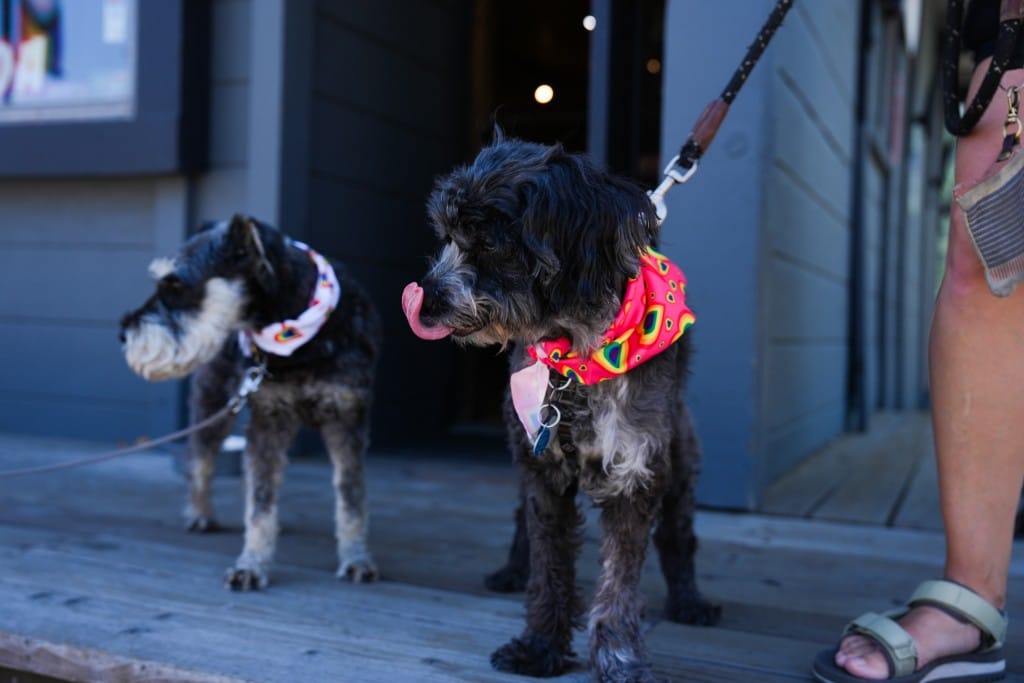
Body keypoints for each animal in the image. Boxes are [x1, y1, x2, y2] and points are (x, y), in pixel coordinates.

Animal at [120, 214, 381, 589]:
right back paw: (200, 513)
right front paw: (251, 564)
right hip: (213, 405)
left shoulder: (348, 419)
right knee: (201, 460)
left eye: (176, 285)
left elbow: (352, 496)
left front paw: (357, 559)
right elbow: (259, 504)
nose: (124, 333)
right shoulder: (268, 420)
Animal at [402, 137, 720, 682]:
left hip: (680, 457)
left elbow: (619, 582)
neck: (575, 355)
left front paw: (618, 656)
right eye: (446, 236)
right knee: (520, 525)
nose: (424, 305)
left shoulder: (635, 469)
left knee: (679, 534)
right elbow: (548, 563)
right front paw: (539, 646)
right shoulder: (542, 469)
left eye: (489, 243)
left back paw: (689, 601)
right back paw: (512, 569)